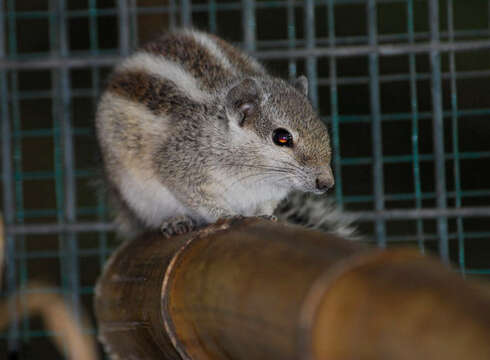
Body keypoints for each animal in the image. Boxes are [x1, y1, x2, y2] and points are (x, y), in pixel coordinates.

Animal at [95, 28, 356, 239]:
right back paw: (175, 221)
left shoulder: (270, 193)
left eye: (322, 129)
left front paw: (265, 215)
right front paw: (226, 214)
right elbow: (195, 196)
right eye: (282, 137)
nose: (326, 182)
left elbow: (266, 206)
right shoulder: (180, 165)